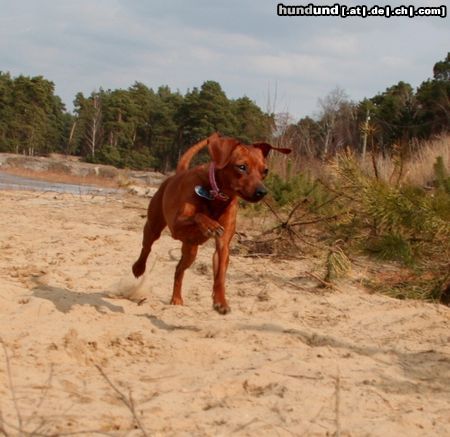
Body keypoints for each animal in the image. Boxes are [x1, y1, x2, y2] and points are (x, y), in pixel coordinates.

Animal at [132, 133, 290, 314]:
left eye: (265, 171)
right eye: (242, 167)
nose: (262, 192)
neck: (216, 195)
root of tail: (177, 174)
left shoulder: (223, 244)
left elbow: (220, 274)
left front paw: (221, 301)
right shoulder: (177, 225)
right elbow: (198, 215)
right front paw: (210, 225)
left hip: (191, 250)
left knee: (179, 268)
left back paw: (176, 298)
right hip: (154, 226)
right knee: (146, 247)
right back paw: (138, 268)